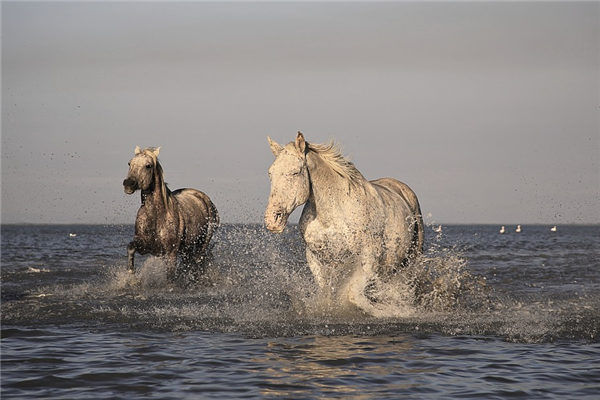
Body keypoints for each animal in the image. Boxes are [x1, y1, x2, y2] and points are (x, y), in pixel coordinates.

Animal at [122, 147, 218, 282]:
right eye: (129, 163)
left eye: (148, 165)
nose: (128, 184)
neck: (156, 216)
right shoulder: (145, 246)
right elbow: (131, 247)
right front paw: (131, 273)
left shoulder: (171, 253)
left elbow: (170, 276)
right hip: (187, 249)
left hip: (201, 244)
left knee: (197, 261)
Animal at [264, 133, 424, 314]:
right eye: (270, 173)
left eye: (295, 172)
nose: (272, 220)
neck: (333, 214)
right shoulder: (316, 258)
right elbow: (326, 292)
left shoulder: (368, 258)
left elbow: (354, 295)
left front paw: (390, 311)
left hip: (412, 258)